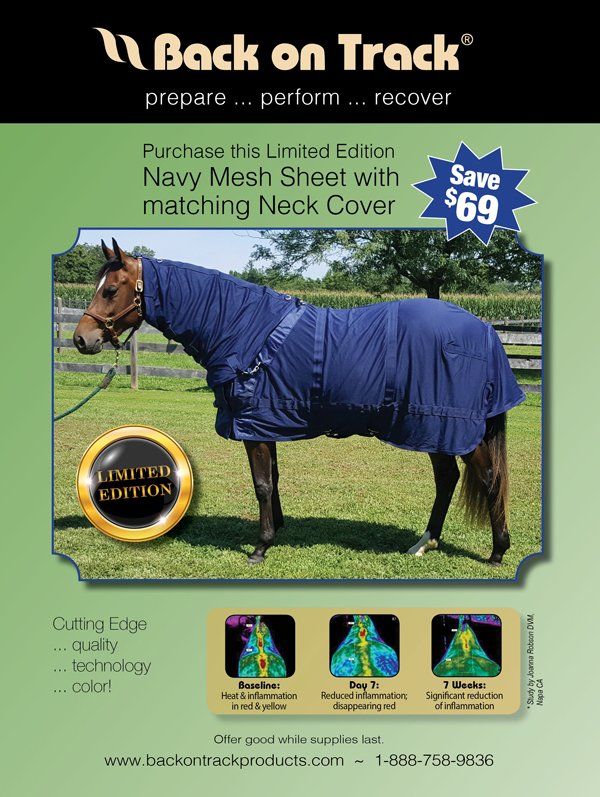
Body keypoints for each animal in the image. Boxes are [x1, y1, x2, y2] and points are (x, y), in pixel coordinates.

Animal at [73, 239, 526, 567]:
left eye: (110, 289)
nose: (81, 339)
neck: (244, 330)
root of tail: (485, 331)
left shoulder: (253, 425)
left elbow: (260, 484)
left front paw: (260, 547)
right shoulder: (264, 422)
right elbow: (272, 479)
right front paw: (276, 528)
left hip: (455, 429)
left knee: (489, 480)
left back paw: (496, 552)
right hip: (433, 430)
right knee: (447, 480)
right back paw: (425, 542)